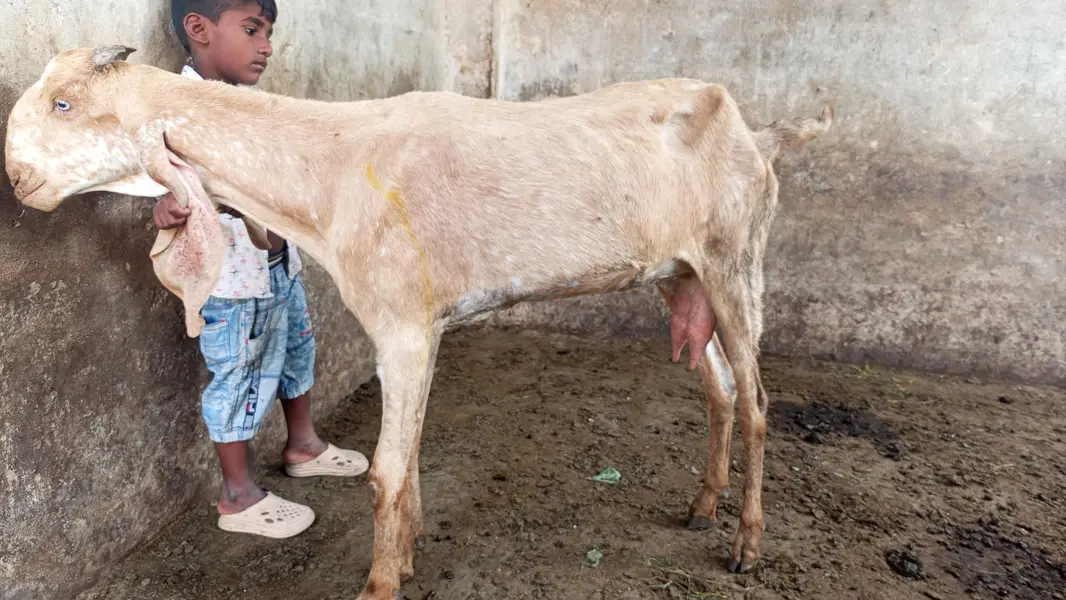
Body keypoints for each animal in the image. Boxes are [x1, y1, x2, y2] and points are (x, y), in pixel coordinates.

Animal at [5, 45, 833, 599]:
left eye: (65, 103)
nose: (18, 178)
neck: (331, 171)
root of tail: (758, 134)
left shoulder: (400, 325)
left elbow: (387, 472)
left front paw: (379, 582)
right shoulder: (424, 328)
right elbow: (409, 459)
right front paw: (406, 553)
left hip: (736, 258)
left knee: (758, 402)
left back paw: (747, 545)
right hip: (682, 274)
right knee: (720, 389)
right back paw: (701, 506)